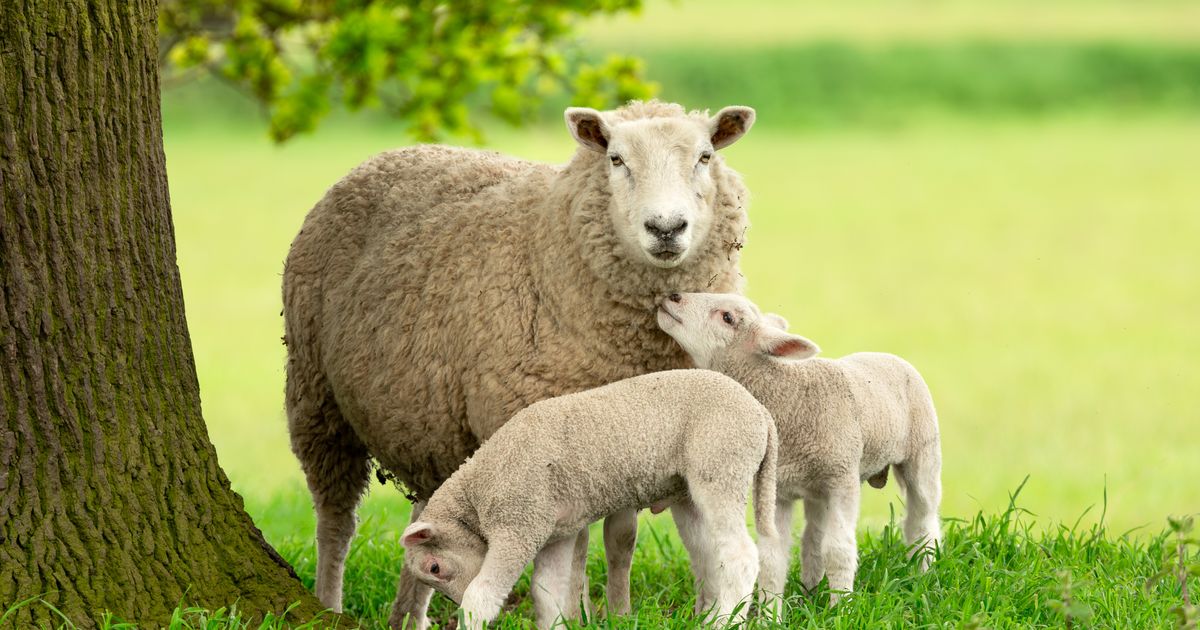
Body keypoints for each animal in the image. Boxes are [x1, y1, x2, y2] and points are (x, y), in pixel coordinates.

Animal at [399, 369, 778, 630]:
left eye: (435, 568)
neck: (478, 489)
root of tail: (761, 413)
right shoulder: (556, 532)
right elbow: (546, 594)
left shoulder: (518, 525)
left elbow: (481, 595)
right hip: (690, 492)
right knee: (713, 558)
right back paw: (711, 617)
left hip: (721, 467)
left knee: (741, 556)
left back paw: (725, 622)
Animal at [655, 292, 943, 605]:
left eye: (727, 318)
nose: (673, 295)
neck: (789, 398)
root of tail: (887, 355)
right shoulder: (778, 490)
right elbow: (773, 557)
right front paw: (770, 612)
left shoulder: (843, 479)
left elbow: (838, 549)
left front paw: (842, 606)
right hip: (816, 487)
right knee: (813, 539)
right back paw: (811, 591)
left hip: (922, 452)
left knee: (922, 518)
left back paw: (924, 572)